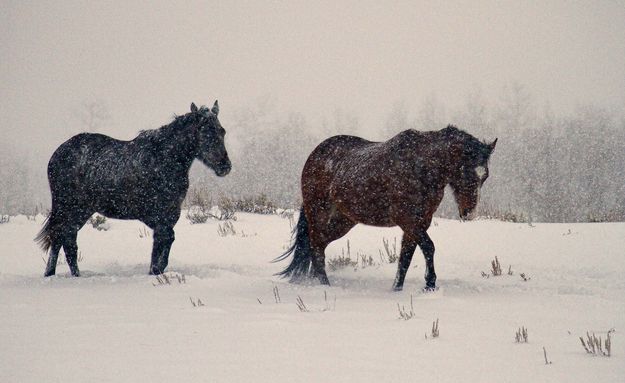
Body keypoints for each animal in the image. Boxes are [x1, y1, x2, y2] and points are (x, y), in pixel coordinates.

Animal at [34, 101, 229, 276]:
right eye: (205, 132)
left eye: (222, 131)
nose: (225, 166)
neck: (164, 160)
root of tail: (56, 154)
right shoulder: (159, 216)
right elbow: (162, 244)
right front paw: (155, 272)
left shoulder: (169, 215)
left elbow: (163, 245)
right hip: (71, 208)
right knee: (66, 241)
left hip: (79, 211)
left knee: (62, 239)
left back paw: (53, 274)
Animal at [276, 126, 494, 292]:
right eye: (465, 172)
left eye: (485, 176)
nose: (469, 213)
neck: (421, 167)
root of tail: (316, 153)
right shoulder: (408, 220)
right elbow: (429, 247)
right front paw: (430, 284)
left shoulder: (420, 222)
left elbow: (405, 257)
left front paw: (397, 289)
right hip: (318, 212)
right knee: (316, 246)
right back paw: (325, 285)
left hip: (344, 220)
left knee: (319, 244)